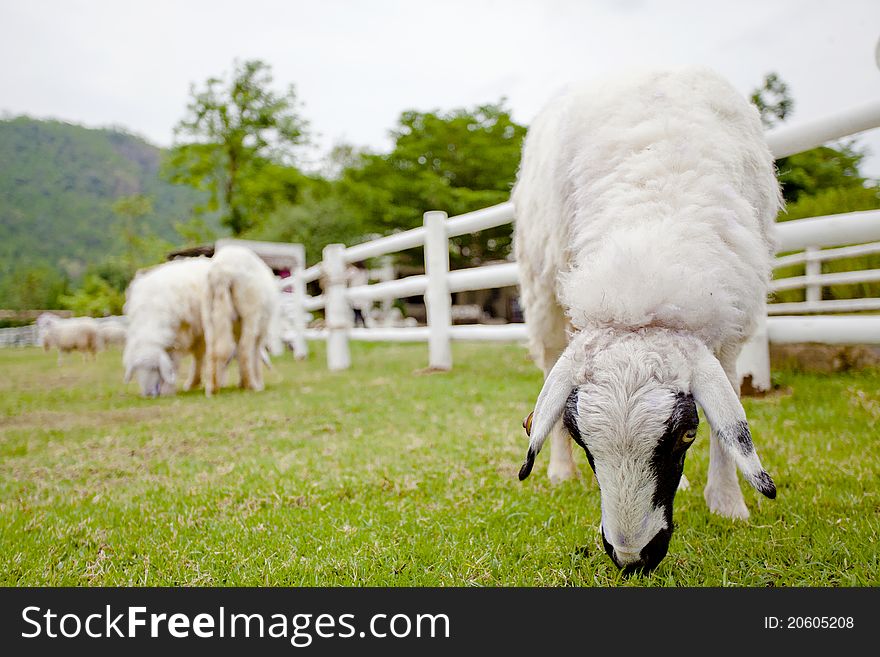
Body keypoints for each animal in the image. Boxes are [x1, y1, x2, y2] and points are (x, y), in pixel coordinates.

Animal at [122, 258, 211, 398]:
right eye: (137, 369)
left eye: (155, 367)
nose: (148, 394)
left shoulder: (177, 339)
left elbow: (173, 364)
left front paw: (167, 390)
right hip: (198, 333)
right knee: (199, 356)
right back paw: (193, 383)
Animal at [201, 242, 280, 392]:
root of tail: (221, 271)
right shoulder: (261, 330)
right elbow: (255, 352)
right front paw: (256, 382)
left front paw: (241, 382)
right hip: (250, 311)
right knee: (245, 347)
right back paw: (252, 385)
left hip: (209, 311)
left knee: (212, 349)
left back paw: (212, 387)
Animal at [512, 64, 780, 572]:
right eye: (580, 436)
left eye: (688, 434)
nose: (632, 558)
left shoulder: (732, 322)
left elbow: (728, 414)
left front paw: (728, 504)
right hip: (543, 293)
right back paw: (559, 471)